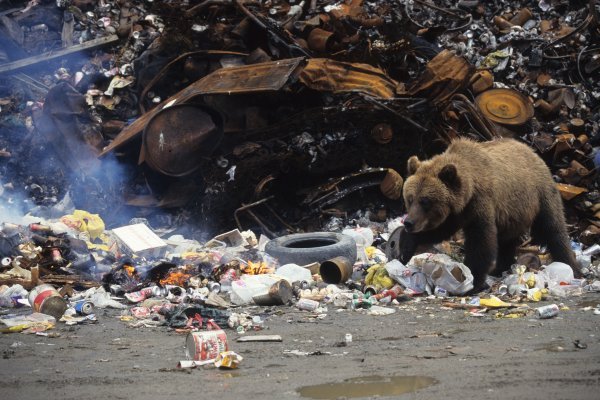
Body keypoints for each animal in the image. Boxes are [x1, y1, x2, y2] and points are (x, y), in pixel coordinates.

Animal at [400, 138, 580, 290]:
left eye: (425, 201)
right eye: (410, 199)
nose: (409, 222)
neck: (468, 191)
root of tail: (532, 151)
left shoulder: (481, 204)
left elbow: (481, 241)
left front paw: (473, 281)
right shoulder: (456, 214)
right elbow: (439, 230)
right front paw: (405, 245)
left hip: (540, 193)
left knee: (553, 228)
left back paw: (572, 267)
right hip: (512, 214)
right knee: (507, 241)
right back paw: (500, 267)